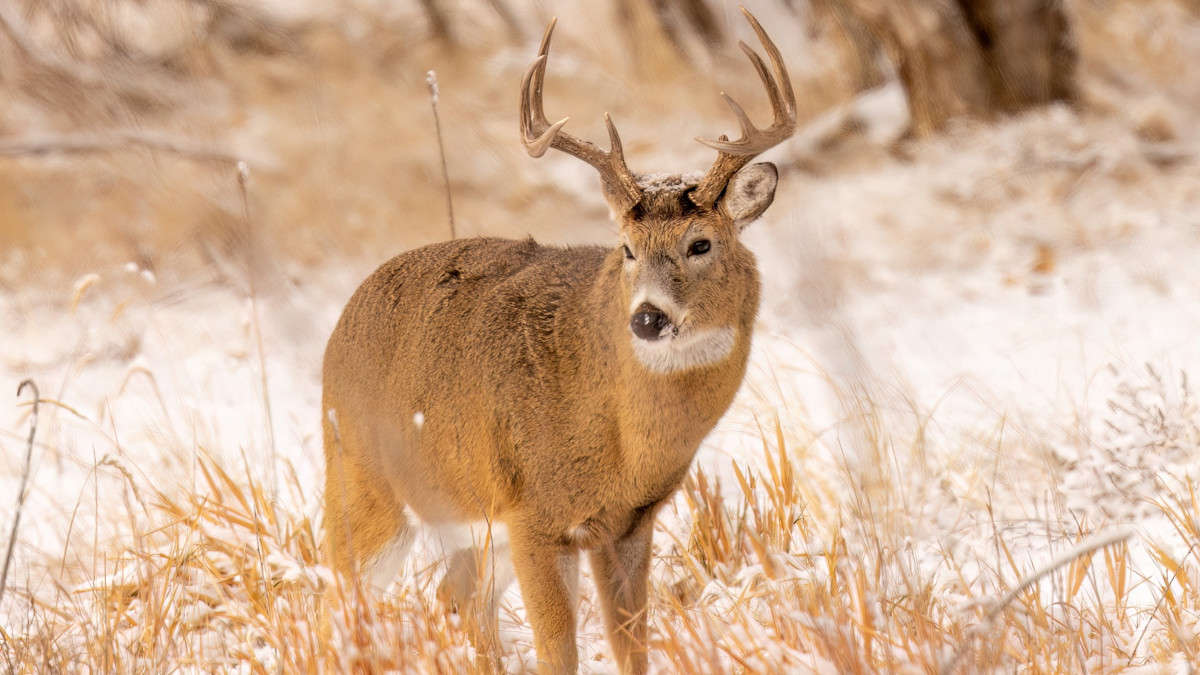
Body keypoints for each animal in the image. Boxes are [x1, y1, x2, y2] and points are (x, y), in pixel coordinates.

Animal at [321, 7, 795, 674]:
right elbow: (559, 652)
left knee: (456, 600)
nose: (647, 319)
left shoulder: (629, 524)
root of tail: (341, 323)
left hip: (467, 519)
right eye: (626, 249)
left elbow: (633, 648)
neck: (619, 437)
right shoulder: (534, 516)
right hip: (362, 482)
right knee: (332, 601)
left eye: (701, 244)